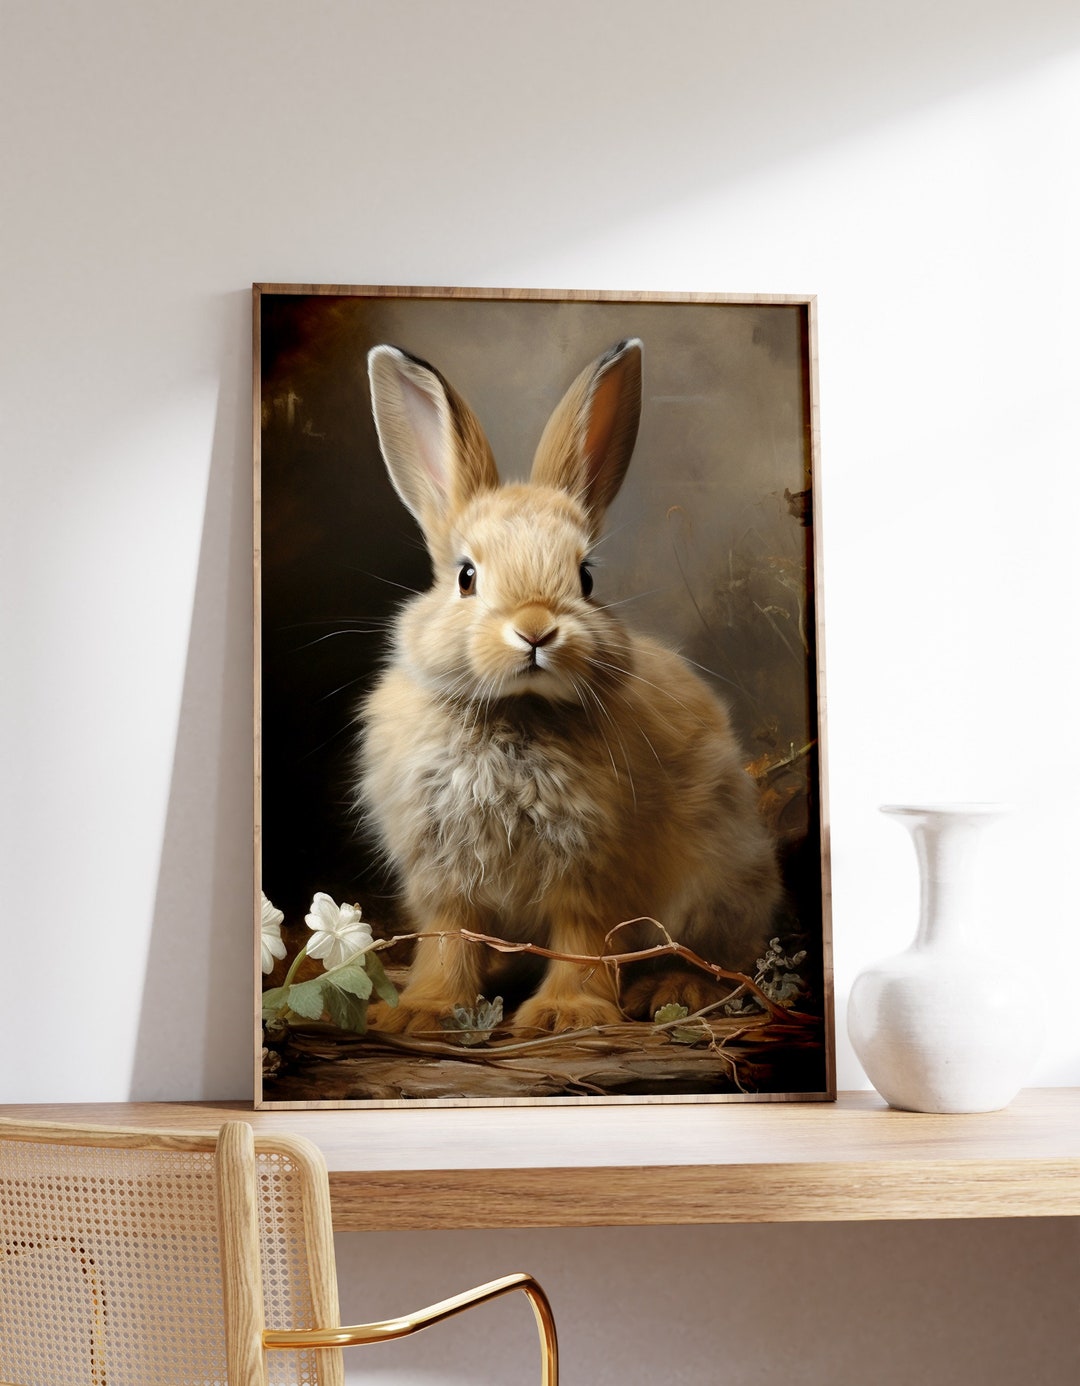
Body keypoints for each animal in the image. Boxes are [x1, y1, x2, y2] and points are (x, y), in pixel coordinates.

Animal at [356, 337, 781, 1036]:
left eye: (585, 577)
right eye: (466, 576)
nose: (535, 629)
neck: (515, 714)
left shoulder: (592, 871)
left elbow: (582, 940)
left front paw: (565, 1015)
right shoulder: (444, 877)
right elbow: (448, 939)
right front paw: (422, 1011)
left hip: (716, 884)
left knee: (723, 960)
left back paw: (672, 989)